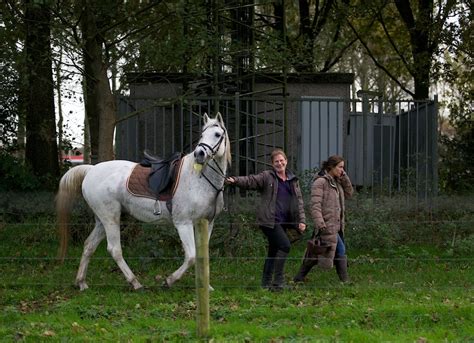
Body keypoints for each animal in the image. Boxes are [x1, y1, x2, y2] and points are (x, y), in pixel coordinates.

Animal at [56, 113, 231, 290]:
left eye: (217, 135)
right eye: (202, 135)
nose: (199, 154)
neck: (199, 179)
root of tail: (91, 170)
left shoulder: (207, 223)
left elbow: (202, 255)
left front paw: (206, 287)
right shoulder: (183, 223)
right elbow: (192, 256)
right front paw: (169, 280)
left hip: (101, 220)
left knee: (89, 246)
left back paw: (81, 282)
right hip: (110, 218)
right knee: (114, 249)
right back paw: (135, 283)